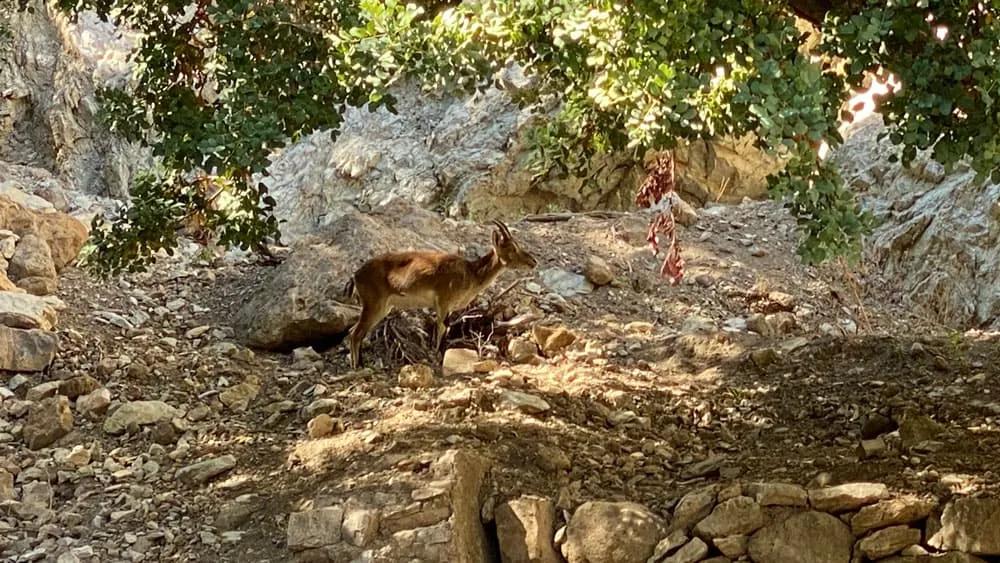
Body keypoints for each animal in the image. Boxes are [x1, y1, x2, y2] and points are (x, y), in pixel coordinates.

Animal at [344, 220, 537, 369]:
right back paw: (356, 367)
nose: (533, 262)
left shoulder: (448, 307)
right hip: (373, 304)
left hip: (382, 308)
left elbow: (446, 328)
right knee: (355, 334)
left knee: (355, 332)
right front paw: (438, 359)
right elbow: (442, 328)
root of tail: (355, 275)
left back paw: (360, 364)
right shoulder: (443, 301)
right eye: (512, 248)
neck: (471, 273)